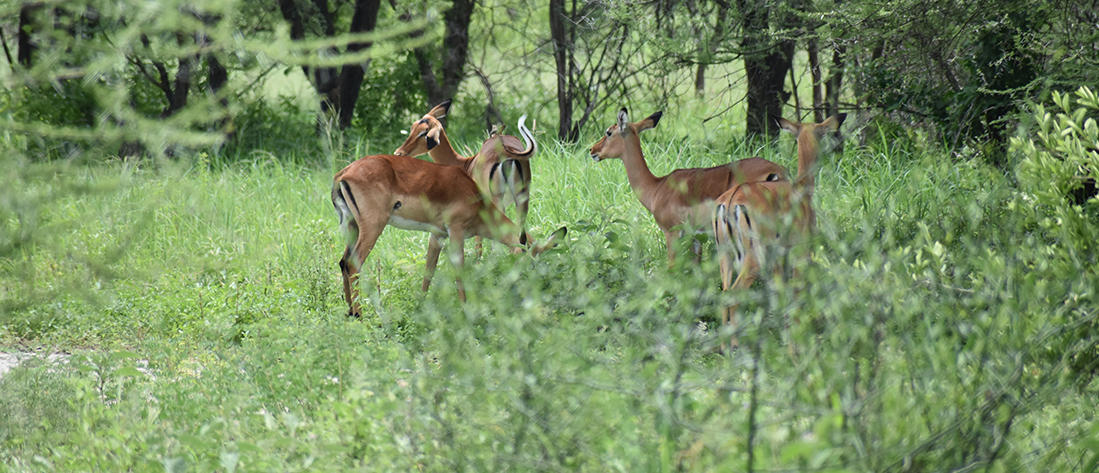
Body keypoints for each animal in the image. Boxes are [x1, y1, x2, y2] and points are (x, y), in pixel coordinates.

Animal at [329, 155, 567, 316]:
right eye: (526, 262)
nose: (533, 291)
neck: (474, 198)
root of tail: (343, 174)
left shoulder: (437, 235)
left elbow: (429, 270)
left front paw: (421, 306)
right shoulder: (456, 230)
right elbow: (459, 268)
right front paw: (465, 308)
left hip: (353, 227)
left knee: (343, 262)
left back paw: (350, 314)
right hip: (373, 226)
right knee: (353, 263)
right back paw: (361, 315)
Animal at [395, 99, 536, 255]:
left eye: (424, 133)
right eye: (413, 126)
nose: (399, 153)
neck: (464, 164)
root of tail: (508, 152)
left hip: (497, 200)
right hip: (521, 197)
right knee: (521, 235)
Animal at [593, 108, 791, 266]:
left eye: (609, 132)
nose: (592, 150)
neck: (657, 188)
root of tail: (777, 172)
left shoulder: (672, 234)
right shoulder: (696, 236)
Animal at [712, 112, 848, 349]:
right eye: (822, 133)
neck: (801, 191)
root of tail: (730, 202)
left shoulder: (778, 257)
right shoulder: (800, 251)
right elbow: (797, 289)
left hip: (725, 255)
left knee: (725, 294)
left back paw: (724, 347)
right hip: (752, 259)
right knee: (736, 295)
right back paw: (736, 346)